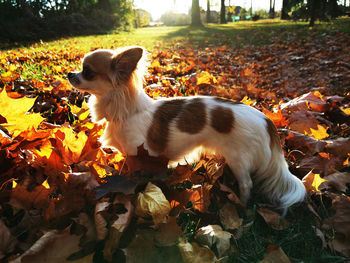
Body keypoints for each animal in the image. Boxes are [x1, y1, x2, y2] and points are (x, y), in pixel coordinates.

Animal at [67, 46, 304, 213]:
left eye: (87, 71)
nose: (69, 73)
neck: (125, 112)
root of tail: (267, 122)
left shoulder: (138, 154)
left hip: (239, 159)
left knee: (247, 184)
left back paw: (243, 205)